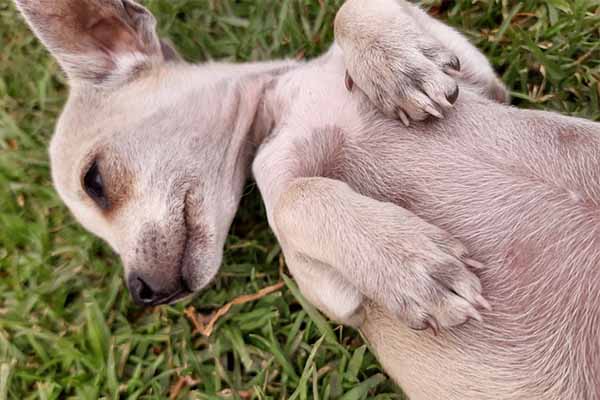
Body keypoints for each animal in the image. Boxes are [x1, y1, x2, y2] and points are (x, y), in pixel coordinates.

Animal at [15, 0, 600, 398]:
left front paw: (394, 66)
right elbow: (300, 197)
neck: (287, 104)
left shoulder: (476, 75)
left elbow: (353, 9)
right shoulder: (326, 285)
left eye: (94, 181)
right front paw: (413, 266)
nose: (142, 292)